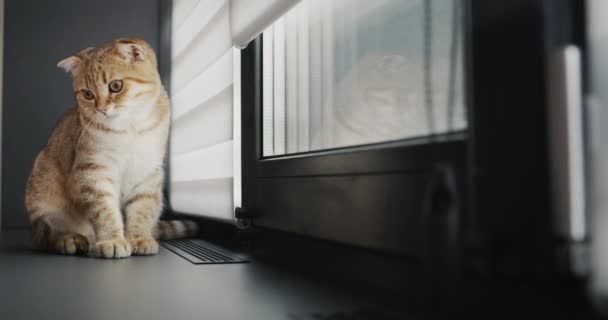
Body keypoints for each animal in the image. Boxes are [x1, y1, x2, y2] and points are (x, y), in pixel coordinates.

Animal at [23, 38, 195, 258]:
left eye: (115, 86)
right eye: (88, 94)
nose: (101, 109)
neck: (130, 126)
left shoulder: (147, 172)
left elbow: (142, 209)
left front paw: (138, 238)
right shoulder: (94, 170)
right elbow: (105, 211)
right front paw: (112, 240)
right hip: (44, 200)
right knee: (47, 234)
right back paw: (71, 239)